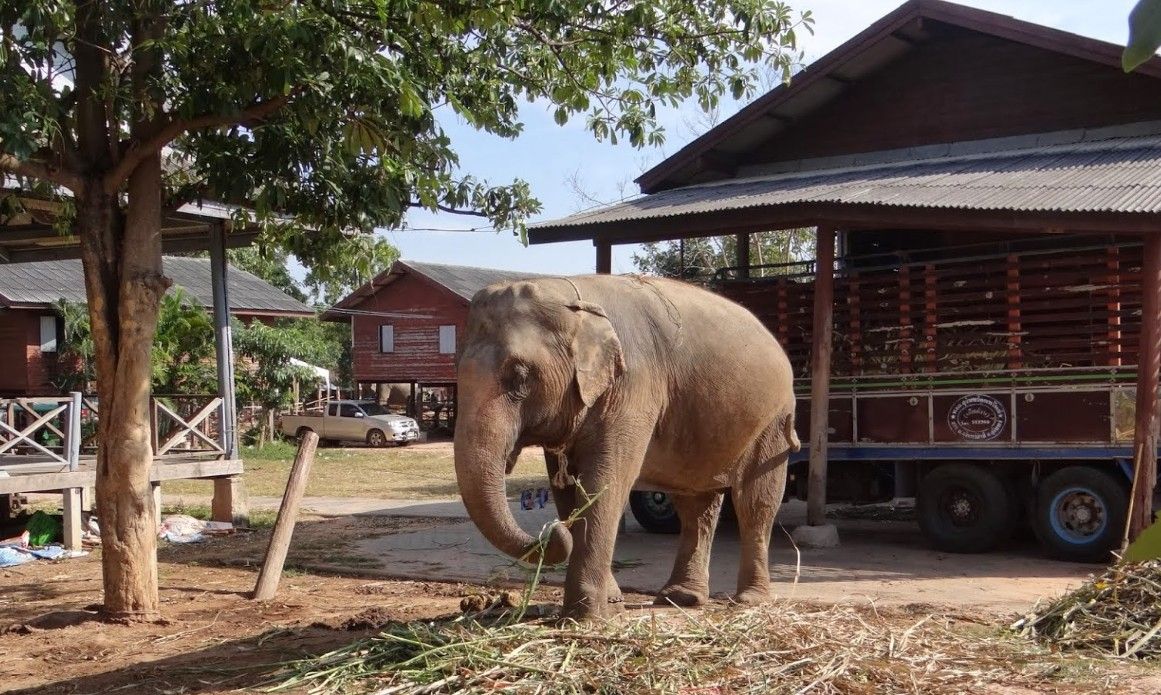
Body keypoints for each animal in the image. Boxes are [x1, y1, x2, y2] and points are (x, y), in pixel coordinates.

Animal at [453, 274, 800, 619]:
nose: (553, 531)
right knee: (695, 504)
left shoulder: (633, 385)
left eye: (520, 376)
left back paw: (749, 600)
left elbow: (606, 481)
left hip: (773, 421)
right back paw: (680, 598)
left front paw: (586, 616)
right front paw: (611, 602)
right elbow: (567, 491)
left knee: (755, 502)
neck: (571, 295)